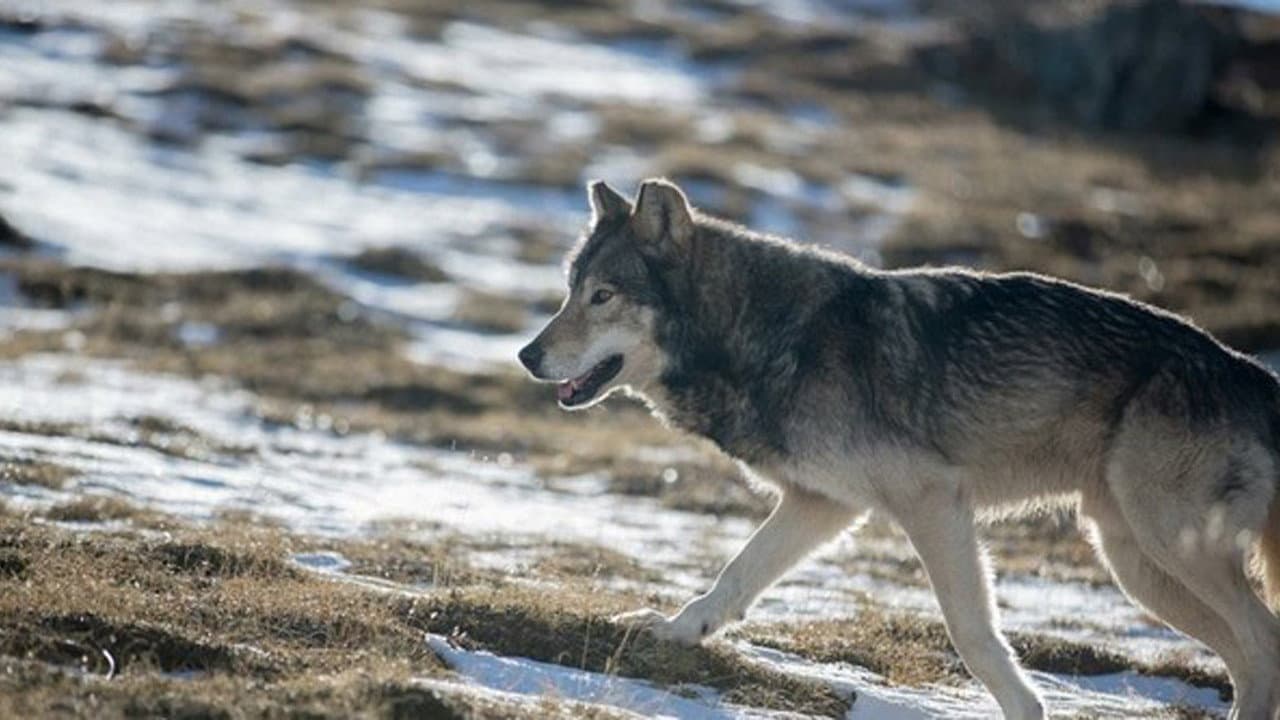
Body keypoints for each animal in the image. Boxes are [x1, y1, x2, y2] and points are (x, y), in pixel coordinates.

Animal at [517, 178, 1280, 720]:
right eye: (568, 291)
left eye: (603, 296)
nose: (527, 355)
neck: (769, 336)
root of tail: (1257, 377)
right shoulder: (821, 504)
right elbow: (733, 578)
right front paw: (673, 631)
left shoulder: (933, 502)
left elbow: (972, 633)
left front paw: (1026, 708)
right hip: (1135, 563)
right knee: (1248, 659)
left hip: (1168, 546)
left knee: (1263, 644)